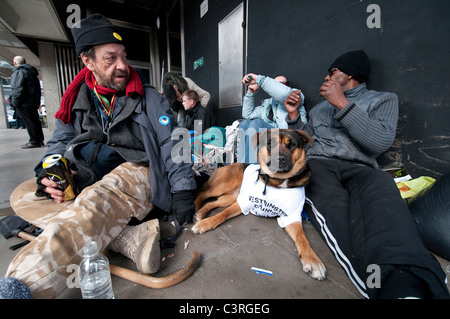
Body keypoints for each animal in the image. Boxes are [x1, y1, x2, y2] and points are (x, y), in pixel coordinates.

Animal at [192, 129, 326, 282]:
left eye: (291, 145)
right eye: (270, 144)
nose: (279, 159)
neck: (278, 182)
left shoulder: (292, 217)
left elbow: (302, 238)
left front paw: (312, 260)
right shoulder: (243, 203)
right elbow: (222, 214)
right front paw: (205, 224)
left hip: (231, 197)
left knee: (213, 202)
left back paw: (201, 213)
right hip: (223, 185)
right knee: (201, 193)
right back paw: (196, 207)